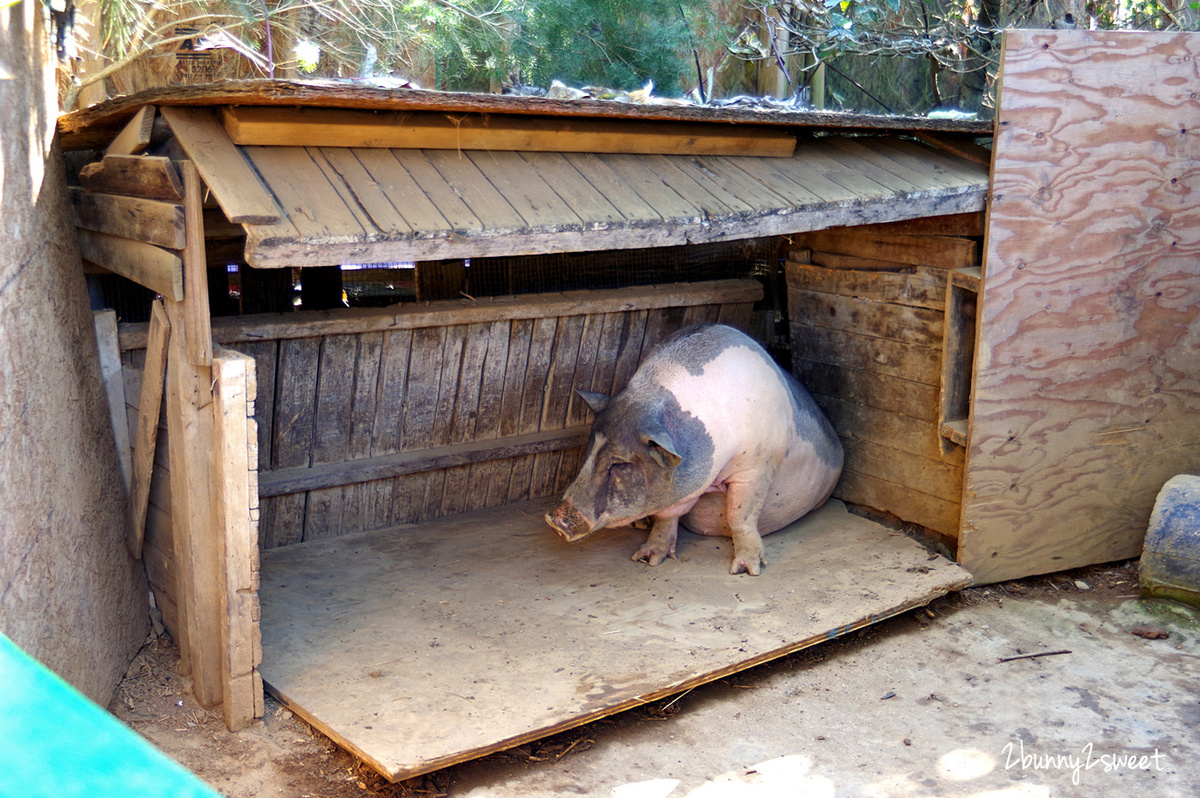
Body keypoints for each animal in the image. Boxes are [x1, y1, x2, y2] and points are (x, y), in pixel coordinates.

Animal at [547, 321, 844, 576]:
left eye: (620, 463)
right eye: (590, 449)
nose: (553, 518)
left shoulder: (757, 464)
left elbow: (740, 515)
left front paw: (746, 571)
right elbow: (666, 517)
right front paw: (645, 559)